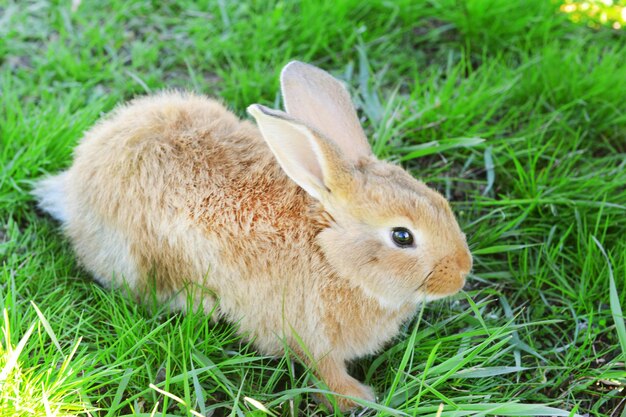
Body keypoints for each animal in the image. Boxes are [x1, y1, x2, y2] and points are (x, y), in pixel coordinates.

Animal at [34, 61, 470, 410]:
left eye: (440, 202)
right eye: (402, 236)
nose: (462, 272)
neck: (331, 256)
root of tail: (74, 186)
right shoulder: (306, 335)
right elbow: (324, 372)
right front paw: (357, 398)